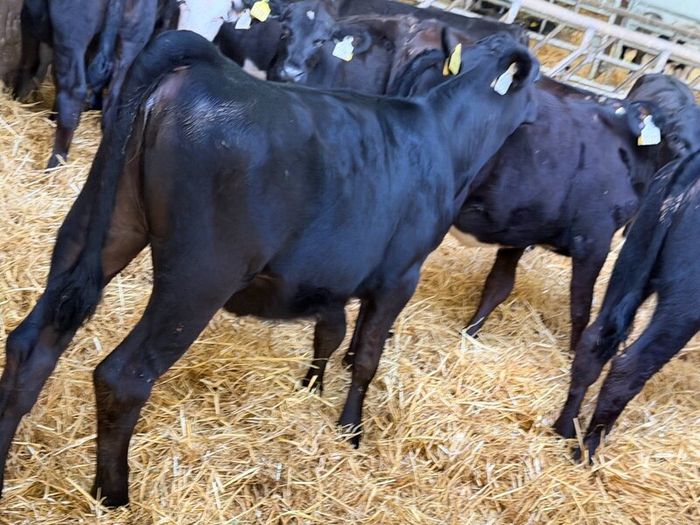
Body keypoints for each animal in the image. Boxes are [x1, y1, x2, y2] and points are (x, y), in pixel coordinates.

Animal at [0, 30, 540, 506]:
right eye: (535, 87)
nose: (538, 121)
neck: (445, 136)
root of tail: (201, 62)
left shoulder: (332, 277)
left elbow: (330, 332)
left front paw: (311, 389)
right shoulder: (399, 277)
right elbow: (366, 356)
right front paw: (351, 429)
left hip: (100, 225)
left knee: (32, 343)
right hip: (199, 278)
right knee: (123, 376)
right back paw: (113, 496)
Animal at [553, 149, 700, 460]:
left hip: (630, 259)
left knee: (592, 343)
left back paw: (564, 429)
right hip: (687, 302)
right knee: (628, 368)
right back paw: (587, 454)